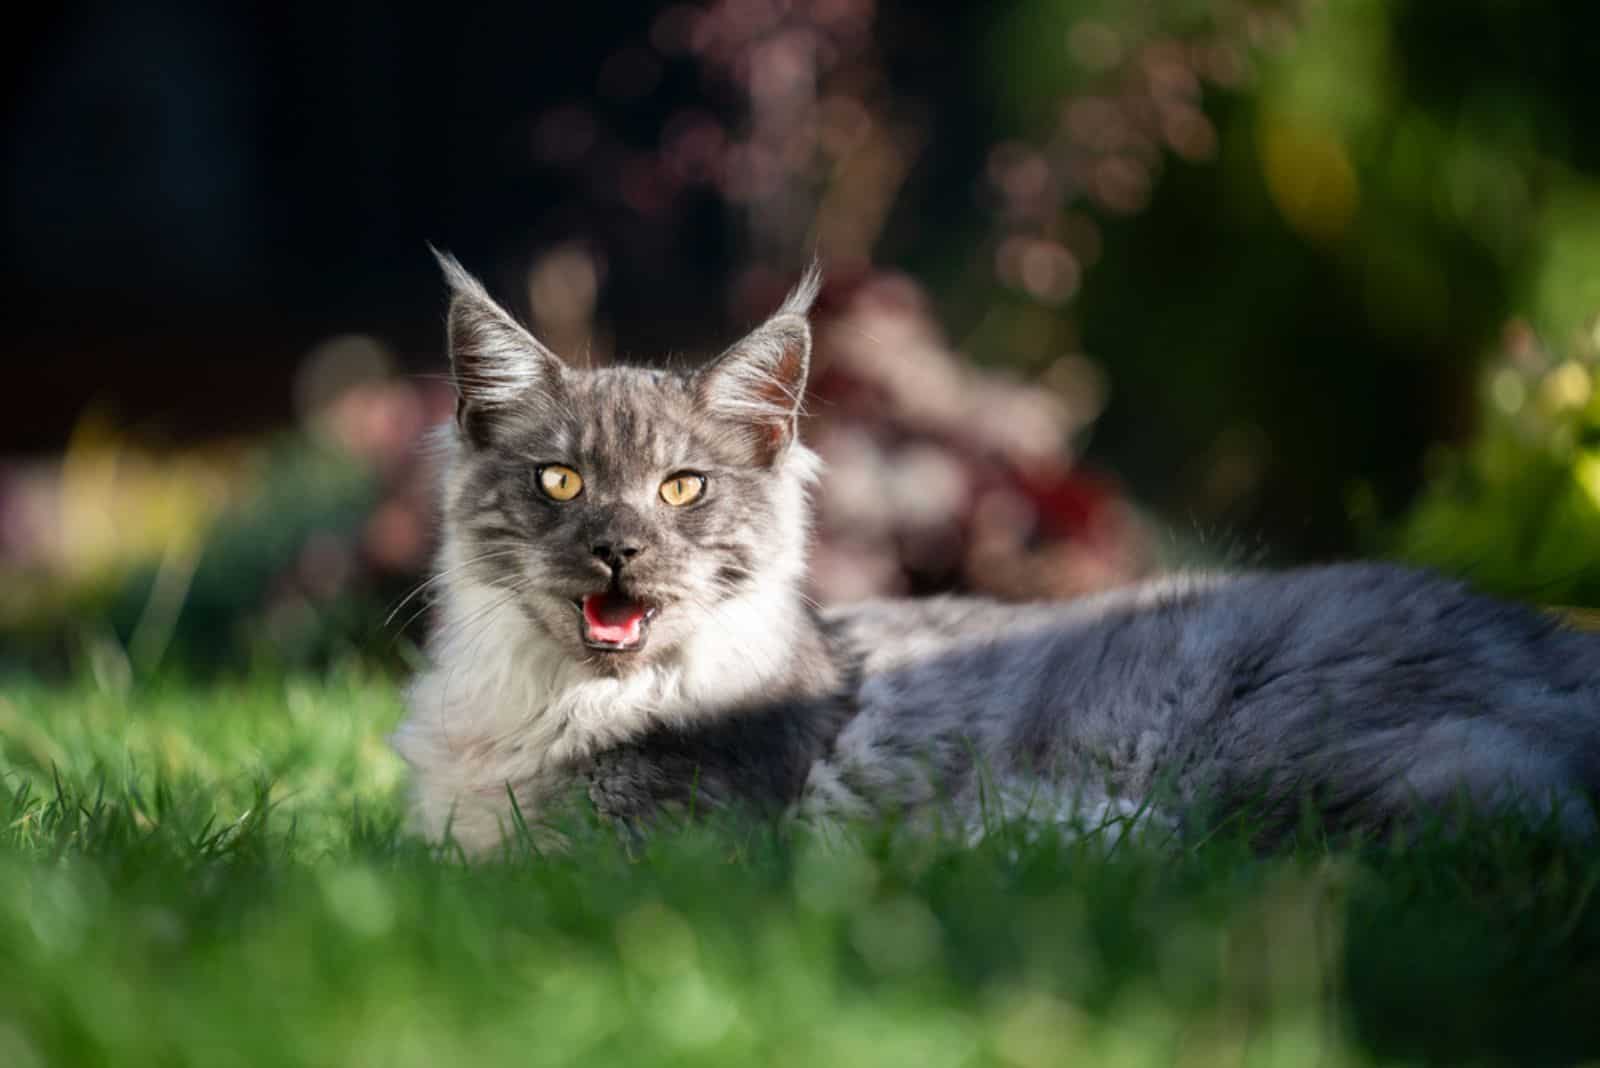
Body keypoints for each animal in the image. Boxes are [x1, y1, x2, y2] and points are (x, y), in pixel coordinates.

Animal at [390, 254, 1600, 856]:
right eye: (560, 482)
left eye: (682, 487)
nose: (617, 551)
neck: (552, 710)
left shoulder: (654, 850)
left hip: (1295, 764)